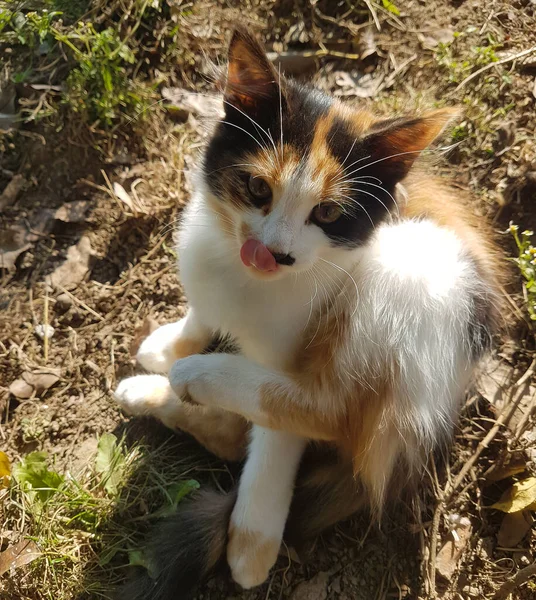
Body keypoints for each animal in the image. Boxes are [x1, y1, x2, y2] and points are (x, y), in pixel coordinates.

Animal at [113, 25, 502, 596]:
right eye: (257, 188)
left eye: (329, 213)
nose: (273, 252)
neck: (252, 282)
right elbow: (204, 310)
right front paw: (171, 344)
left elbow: (282, 435)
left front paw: (253, 539)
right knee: (238, 436)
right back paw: (156, 390)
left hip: (410, 278)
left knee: (332, 412)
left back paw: (202, 375)